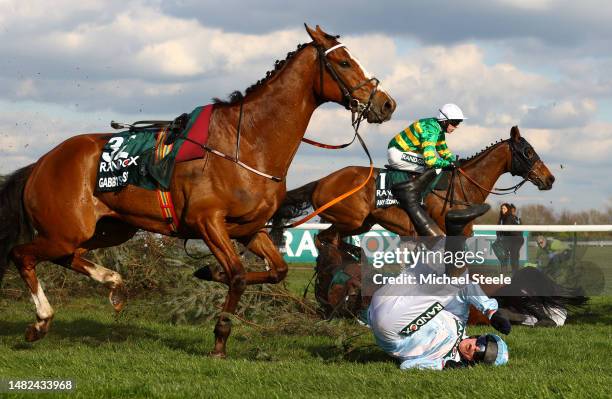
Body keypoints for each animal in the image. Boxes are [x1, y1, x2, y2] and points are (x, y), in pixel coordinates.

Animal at [0, 25, 396, 356]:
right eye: (344, 62)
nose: (386, 103)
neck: (247, 143)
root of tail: (41, 163)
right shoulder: (209, 223)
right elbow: (237, 275)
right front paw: (220, 336)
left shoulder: (250, 229)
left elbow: (276, 271)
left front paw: (209, 274)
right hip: (66, 229)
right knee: (23, 255)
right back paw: (41, 322)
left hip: (108, 229)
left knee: (66, 257)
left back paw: (112, 283)